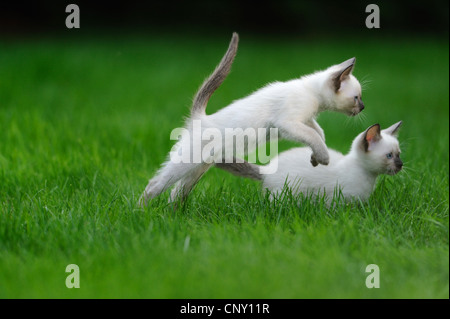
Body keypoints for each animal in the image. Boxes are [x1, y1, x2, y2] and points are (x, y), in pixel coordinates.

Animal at [140, 33, 366, 208]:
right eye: (356, 98)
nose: (363, 107)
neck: (311, 93)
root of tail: (199, 116)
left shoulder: (305, 119)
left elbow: (319, 133)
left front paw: (315, 158)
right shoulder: (289, 123)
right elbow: (314, 136)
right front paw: (324, 158)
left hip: (199, 168)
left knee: (177, 192)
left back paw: (174, 215)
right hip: (187, 162)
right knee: (154, 184)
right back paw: (142, 213)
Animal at [220, 122, 402, 202]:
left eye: (399, 154)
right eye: (389, 156)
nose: (401, 165)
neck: (367, 177)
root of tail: (267, 169)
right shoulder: (337, 201)